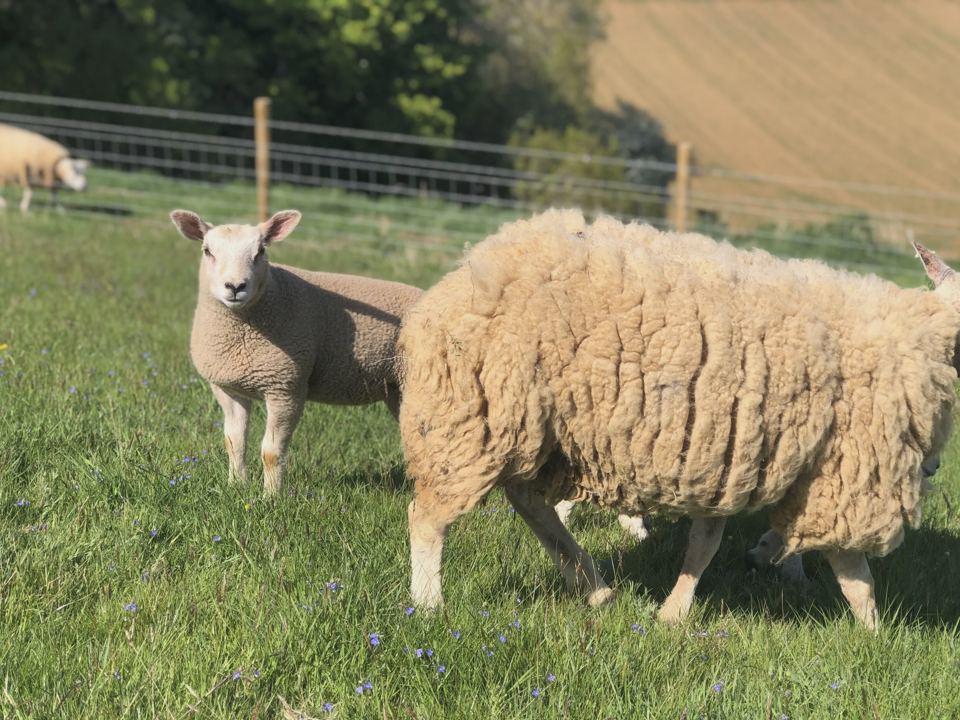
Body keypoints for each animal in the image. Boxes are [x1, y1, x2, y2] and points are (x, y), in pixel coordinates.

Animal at [170, 208, 423, 496]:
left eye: (260, 251)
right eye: (207, 251)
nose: (235, 286)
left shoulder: (286, 387)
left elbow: (271, 451)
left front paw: (270, 497)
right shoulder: (228, 388)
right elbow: (233, 442)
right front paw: (236, 486)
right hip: (397, 389)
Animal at [397, 209, 960, 629]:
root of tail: (465, 272)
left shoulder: (734, 449)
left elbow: (707, 543)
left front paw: (683, 604)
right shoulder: (847, 470)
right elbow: (853, 570)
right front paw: (875, 635)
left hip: (531, 427)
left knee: (529, 501)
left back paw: (593, 586)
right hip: (477, 413)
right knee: (429, 515)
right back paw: (430, 604)